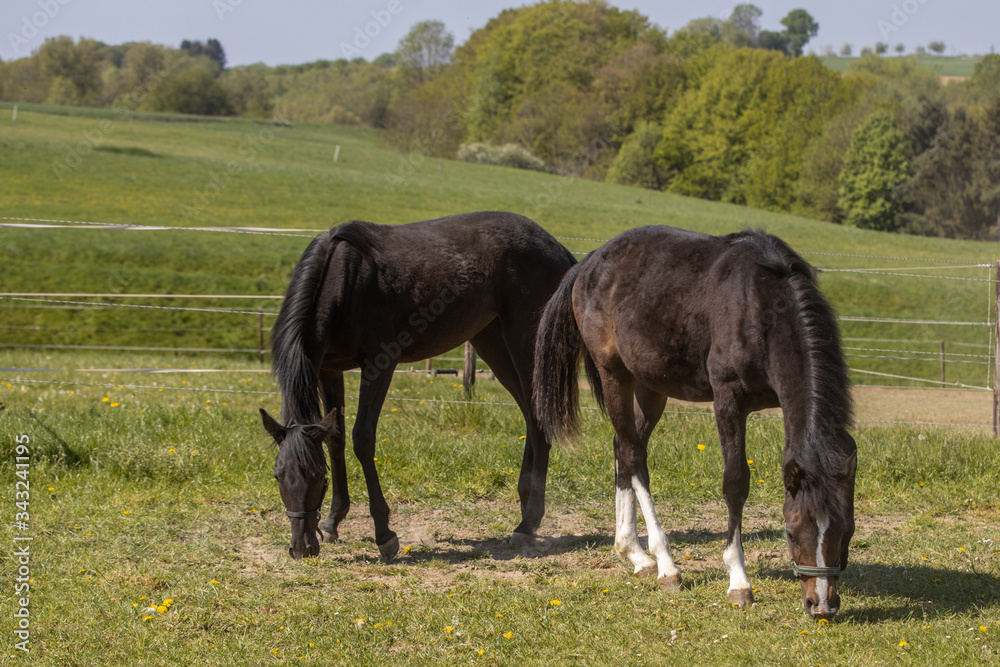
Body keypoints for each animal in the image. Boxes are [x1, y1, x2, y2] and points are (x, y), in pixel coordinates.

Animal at [258, 211, 576, 560]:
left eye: (318, 476)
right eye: (277, 475)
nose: (301, 548)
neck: (344, 282)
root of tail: (557, 248)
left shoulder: (379, 363)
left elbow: (362, 439)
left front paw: (384, 533)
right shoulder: (329, 369)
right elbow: (335, 439)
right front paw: (332, 522)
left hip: (524, 341)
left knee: (538, 419)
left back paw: (528, 523)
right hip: (491, 342)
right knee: (531, 417)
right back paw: (525, 507)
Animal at [536, 226, 856, 620]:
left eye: (846, 530)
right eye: (792, 532)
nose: (822, 605)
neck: (761, 306)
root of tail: (590, 263)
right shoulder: (728, 399)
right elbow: (736, 483)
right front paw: (738, 581)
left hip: (650, 384)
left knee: (624, 447)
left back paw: (635, 554)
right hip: (614, 374)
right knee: (634, 456)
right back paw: (665, 565)